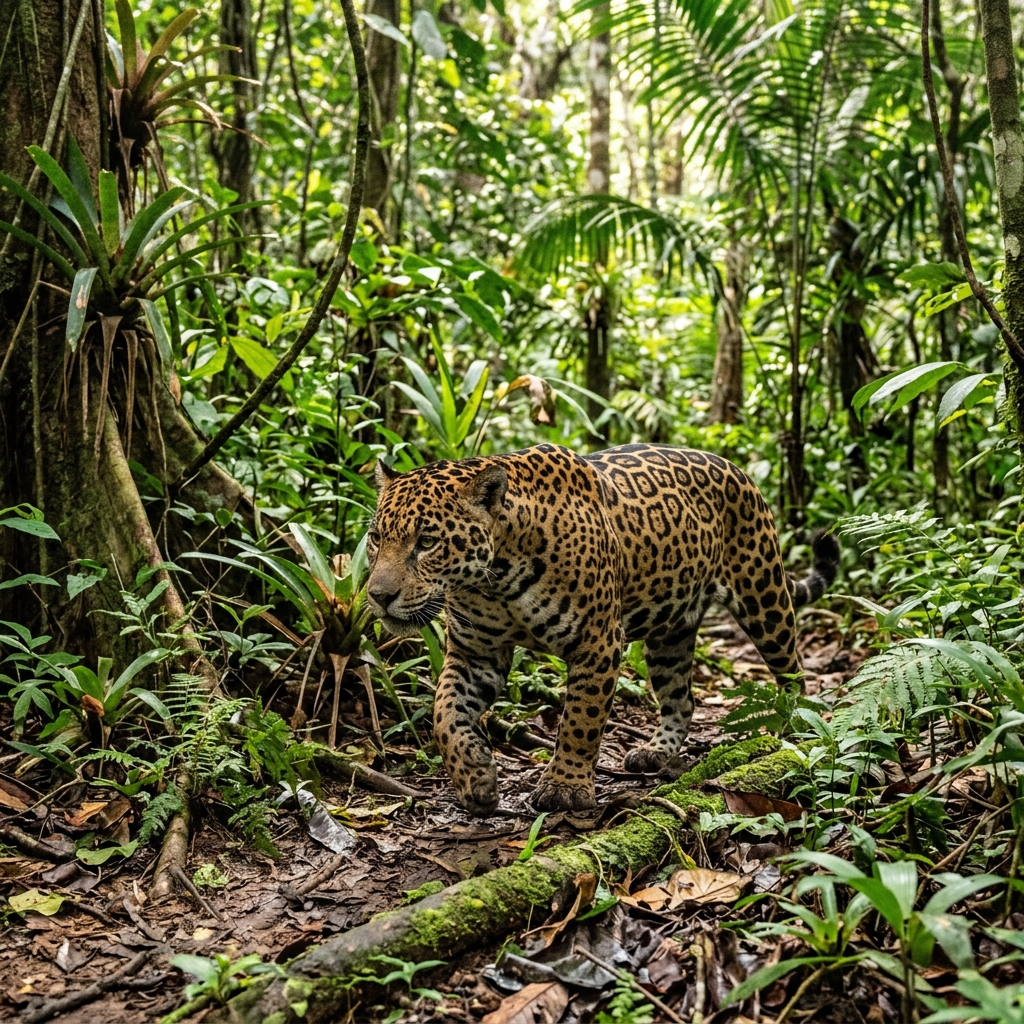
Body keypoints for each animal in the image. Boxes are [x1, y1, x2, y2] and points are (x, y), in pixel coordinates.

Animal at [365, 442, 840, 816]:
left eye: (427, 542)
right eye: (376, 538)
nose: (377, 595)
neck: (494, 579)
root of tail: (735, 467)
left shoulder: (598, 643)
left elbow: (580, 719)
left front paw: (565, 787)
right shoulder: (474, 653)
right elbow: (444, 714)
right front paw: (475, 777)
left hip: (764, 597)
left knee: (793, 668)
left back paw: (795, 726)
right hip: (670, 632)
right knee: (681, 698)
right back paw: (656, 752)